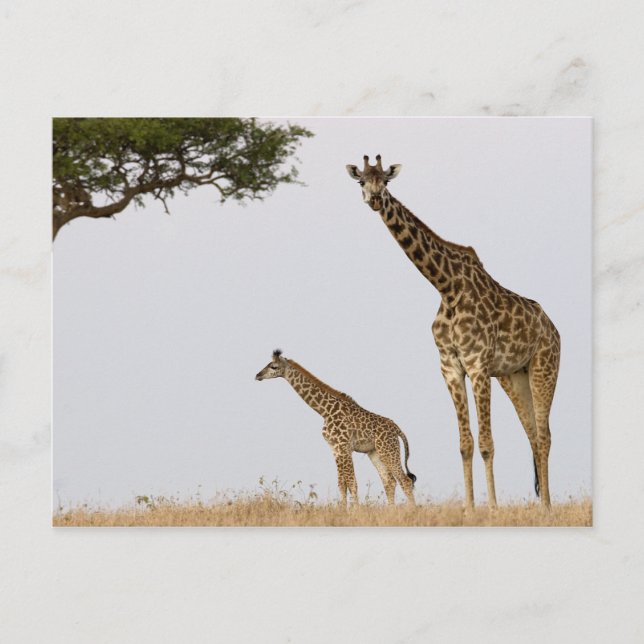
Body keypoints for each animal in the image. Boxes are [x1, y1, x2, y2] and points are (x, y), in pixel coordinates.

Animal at [255, 350, 416, 507]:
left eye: (273, 366)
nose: (258, 375)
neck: (325, 411)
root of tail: (397, 429)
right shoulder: (335, 449)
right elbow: (342, 484)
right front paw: (343, 509)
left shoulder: (344, 446)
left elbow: (352, 483)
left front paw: (355, 511)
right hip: (375, 453)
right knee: (389, 482)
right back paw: (392, 510)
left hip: (388, 449)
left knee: (405, 480)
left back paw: (411, 510)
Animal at [346, 155, 561, 510]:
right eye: (362, 181)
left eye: (386, 181)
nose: (375, 199)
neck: (446, 286)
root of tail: (554, 329)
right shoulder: (450, 367)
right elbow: (464, 443)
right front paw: (469, 509)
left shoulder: (477, 365)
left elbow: (486, 442)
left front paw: (492, 508)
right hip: (514, 376)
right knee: (532, 434)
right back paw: (542, 503)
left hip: (545, 367)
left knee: (544, 436)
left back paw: (546, 508)